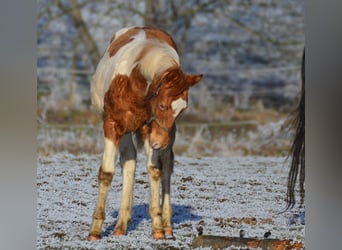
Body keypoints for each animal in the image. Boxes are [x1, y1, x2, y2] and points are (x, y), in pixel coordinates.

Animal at [88, 27, 202, 240]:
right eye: (162, 105)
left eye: (182, 109)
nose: (160, 142)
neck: (135, 79)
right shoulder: (112, 126)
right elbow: (107, 173)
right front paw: (95, 231)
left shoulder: (152, 131)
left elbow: (155, 170)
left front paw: (158, 227)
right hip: (127, 132)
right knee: (129, 161)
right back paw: (121, 225)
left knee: (165, 166)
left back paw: (166, 224)